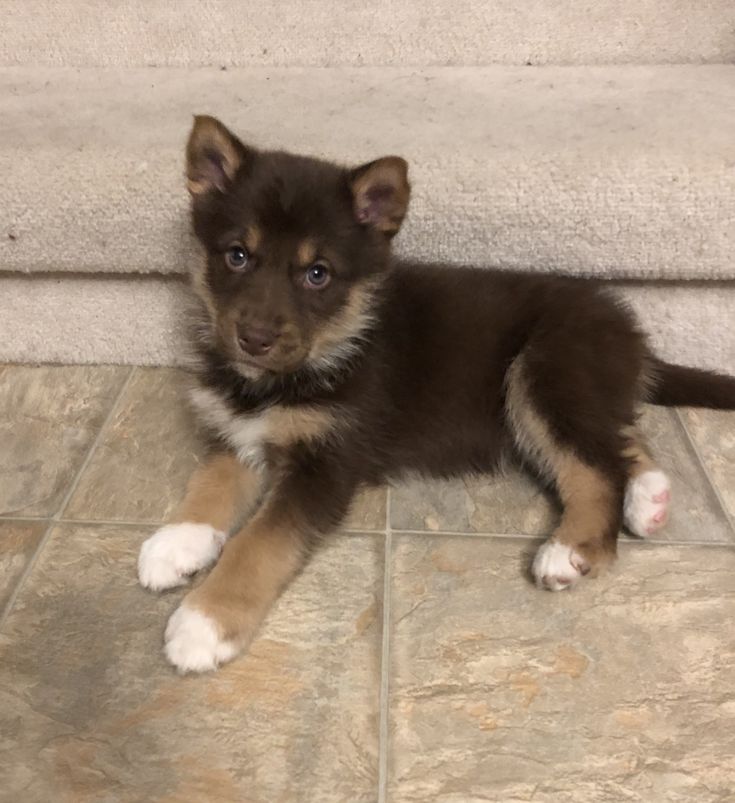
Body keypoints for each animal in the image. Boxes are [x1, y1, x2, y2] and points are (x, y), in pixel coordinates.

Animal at [139, 116, 735, 676]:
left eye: (318, 274)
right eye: (237, 256)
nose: (254, 339)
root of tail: (627, 330)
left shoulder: (328, 463)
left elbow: (259, 542)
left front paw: (204, 622)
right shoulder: (236, 429)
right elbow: (211, 482)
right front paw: (177, 542)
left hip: (545, 370)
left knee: (596, 467)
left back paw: (571, 549)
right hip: (581, 385)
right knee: (617, 435)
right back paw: (650, 498)